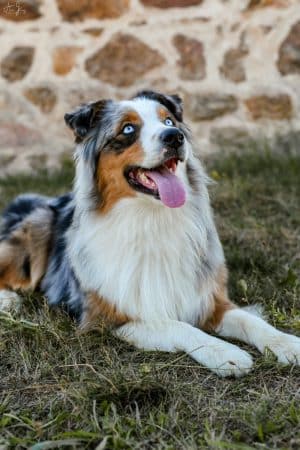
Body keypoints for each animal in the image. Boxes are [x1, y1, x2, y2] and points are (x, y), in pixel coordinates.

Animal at [0, 89, 300, 376]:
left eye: (168, 121)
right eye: (128, 129)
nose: (175, 137)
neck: (151, 219)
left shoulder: (210, 299)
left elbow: (252, 321)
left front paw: (287, 343)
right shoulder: (110, 318)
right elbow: (177, 325)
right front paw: (225, 352)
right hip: (37, 225)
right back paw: (9, 300)